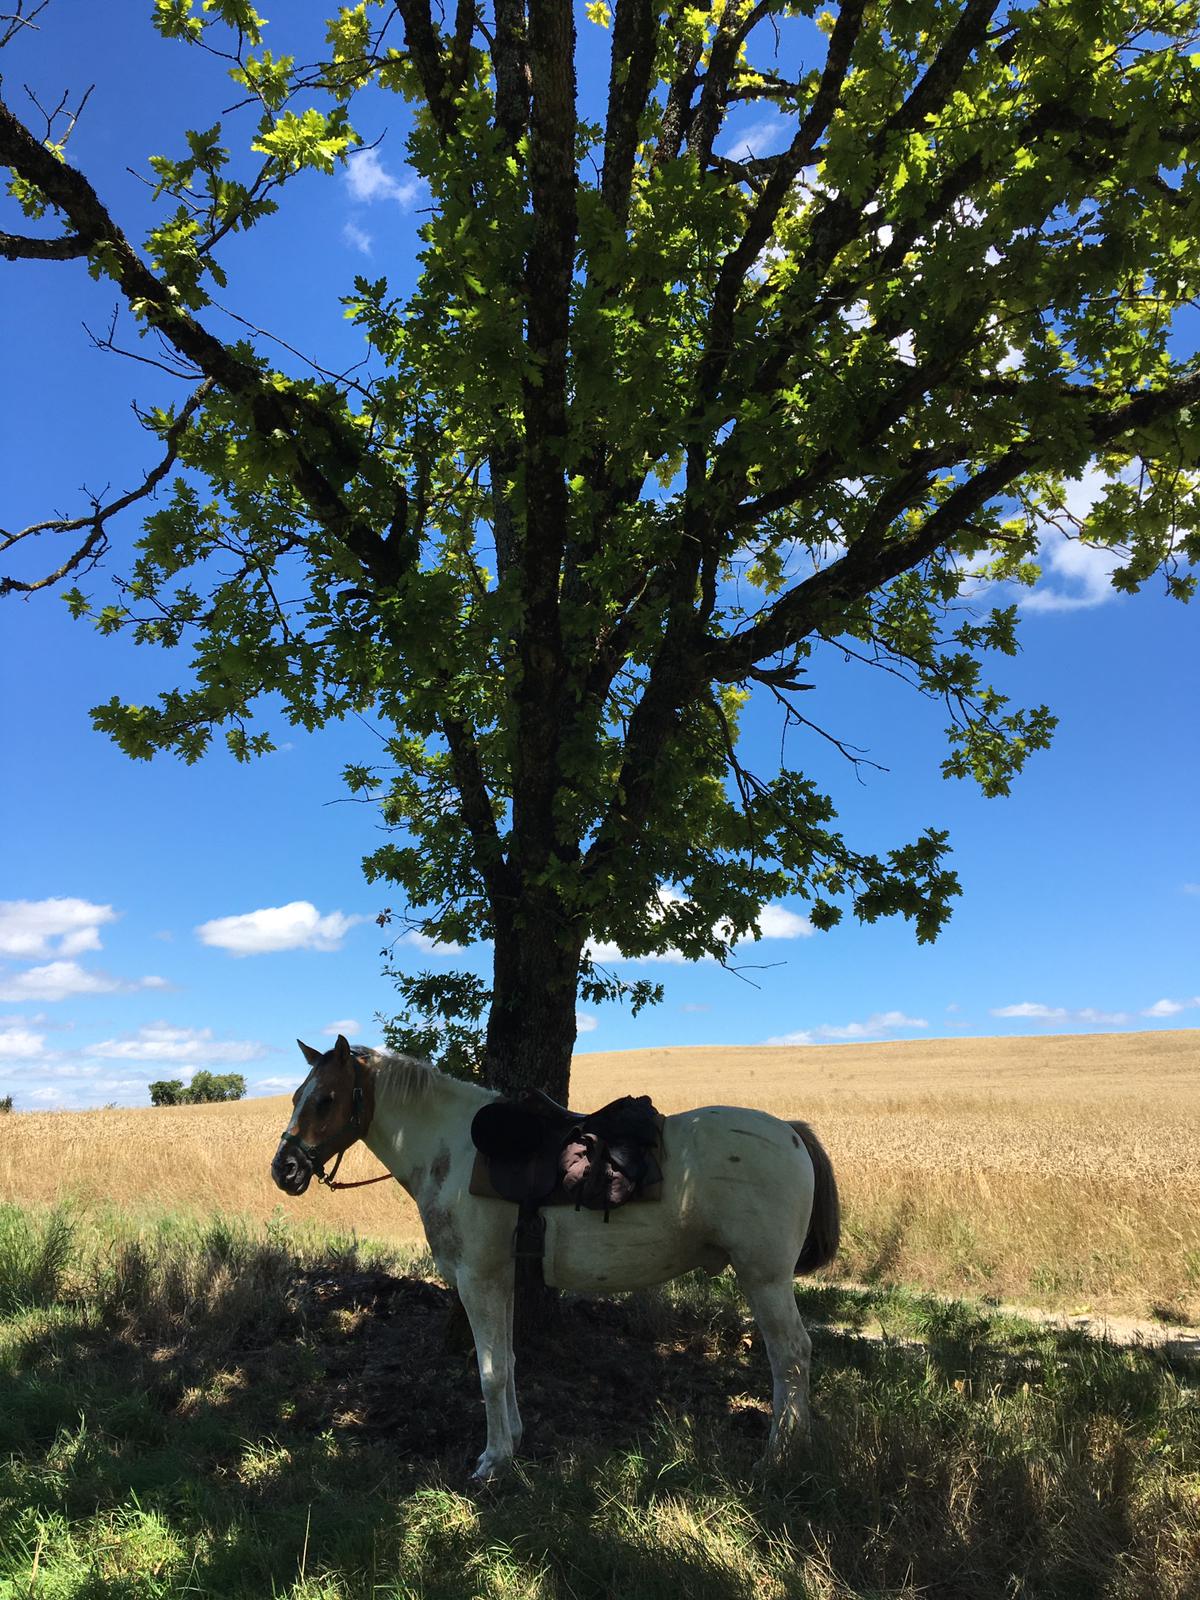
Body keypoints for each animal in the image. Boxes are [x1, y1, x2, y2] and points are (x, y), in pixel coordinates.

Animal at [271, 1034, 840, 1480]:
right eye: (296, 1095)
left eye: (324, 1099)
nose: (284, 1169)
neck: (453, 1151)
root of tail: (790, 1132)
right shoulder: (500, 1279)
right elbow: (507, 1362)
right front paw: (514, 1440)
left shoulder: (478, 1279)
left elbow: (490, 1371)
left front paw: (492, 1461)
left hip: (765, 1278)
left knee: (792, 1355)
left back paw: (780, 1456)